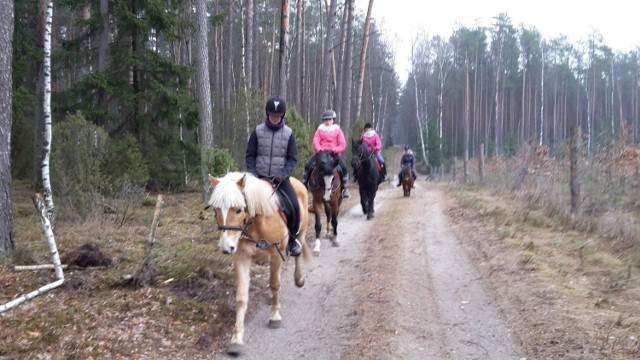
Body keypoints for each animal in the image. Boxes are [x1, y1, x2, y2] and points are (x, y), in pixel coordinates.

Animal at [206, 173, 312, 356]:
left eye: (239, 209)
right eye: (216, 209)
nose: (226, 247)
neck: (257, 221)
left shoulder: (276, 255)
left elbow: (275, 284)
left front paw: (275, 317)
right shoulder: (242, 258)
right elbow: (241, 297)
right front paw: (236, 339)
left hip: (302, 231)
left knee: (298, 250)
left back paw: (299, 279)